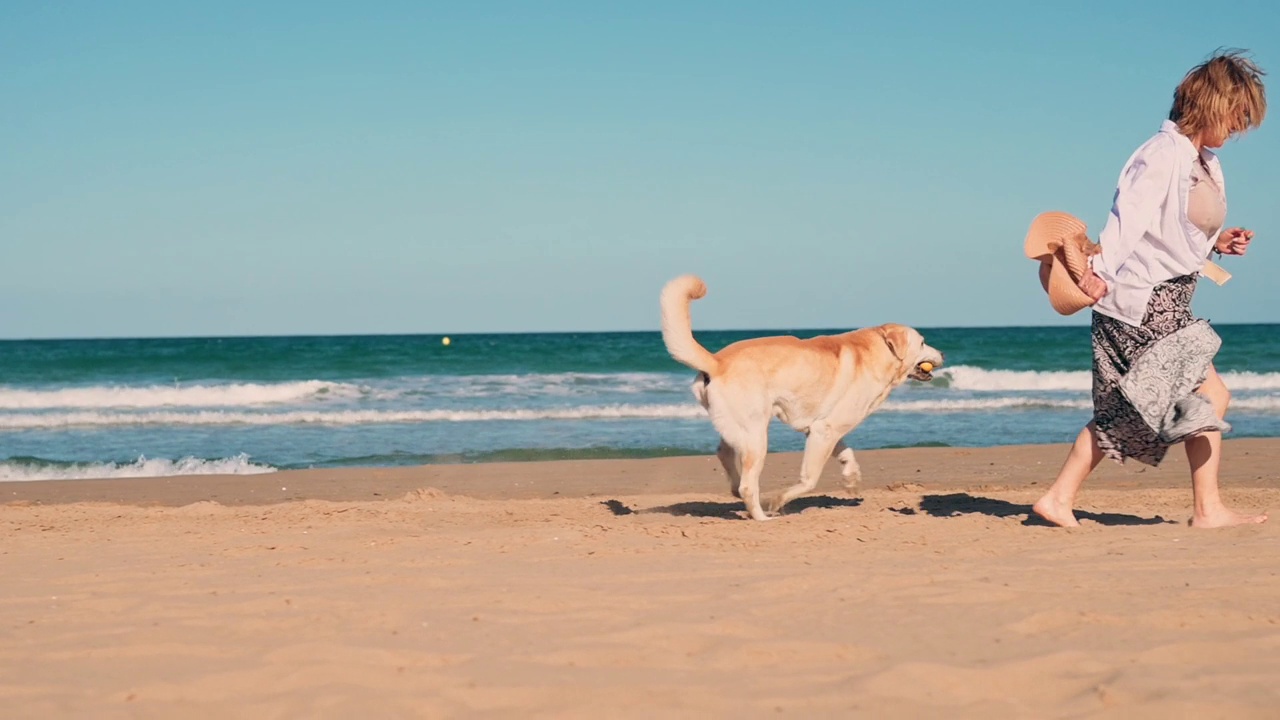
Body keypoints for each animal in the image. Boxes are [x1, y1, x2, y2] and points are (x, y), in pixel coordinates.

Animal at [660, 275, 942, 520]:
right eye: (923, 342)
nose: (943, 354)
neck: (880, 350)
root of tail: (716, 362)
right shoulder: (824, 431)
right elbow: (809, 480)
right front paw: (778, 501)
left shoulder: (822, 428)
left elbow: (846, 452)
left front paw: (851, 479)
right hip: (756, 437)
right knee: (748, 486)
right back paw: (762, 517)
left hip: (738, 429)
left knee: (725, 456)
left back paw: (736, 490)